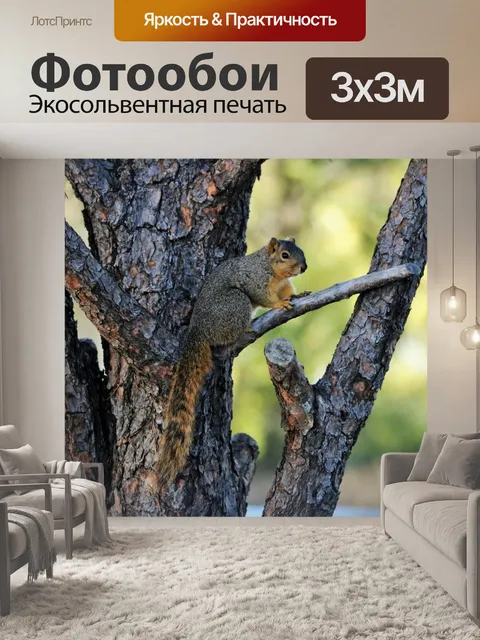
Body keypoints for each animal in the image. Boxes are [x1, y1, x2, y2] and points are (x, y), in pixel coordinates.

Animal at [156, 237, 308, 489]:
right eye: (285, 255)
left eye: (301, 251)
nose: (304, 268)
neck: (271, 268)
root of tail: (198, 329)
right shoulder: (255, 281)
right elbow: (265, 298)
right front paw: (279, 305)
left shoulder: (282, 284)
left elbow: (287, 291)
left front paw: (296, 295)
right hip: (236, 303)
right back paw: (245, 329)